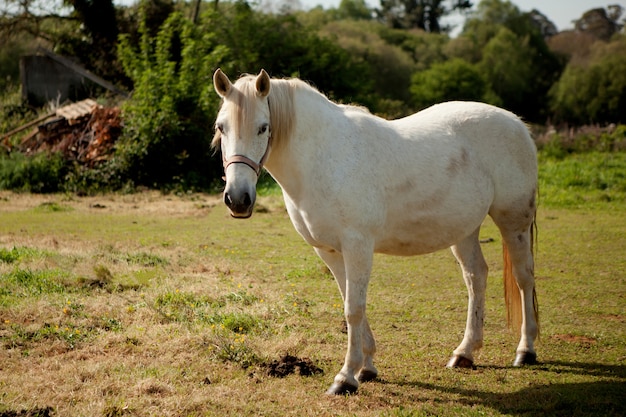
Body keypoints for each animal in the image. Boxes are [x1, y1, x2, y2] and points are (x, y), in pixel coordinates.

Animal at [212, 68, 540, 394]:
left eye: (263, 127)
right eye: (221, 127)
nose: (238, 199)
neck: (323, 159)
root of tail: (516, 123)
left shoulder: (357, 246)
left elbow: (353, 309)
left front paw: (345, 378)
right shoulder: (329, 251)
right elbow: (349, 302)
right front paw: (366, 367)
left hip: (513, 221)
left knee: (523, 276)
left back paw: (526, 350)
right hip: (464, 230)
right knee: (476, 276)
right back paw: (465, 353)